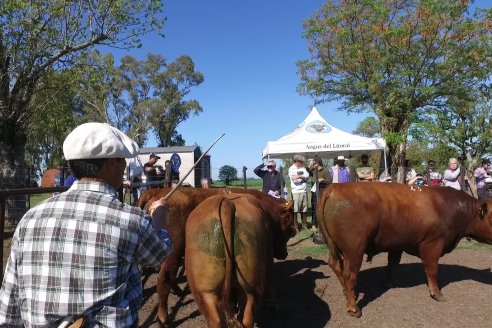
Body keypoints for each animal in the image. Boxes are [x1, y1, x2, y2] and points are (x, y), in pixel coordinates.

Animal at [186, 193, 290, 326]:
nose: (285, 253)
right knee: (246, 318)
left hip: (207, 291)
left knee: (217, 319)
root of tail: (227, 203)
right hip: (249, 288)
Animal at [318, 182, 492, 318]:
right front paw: (437, 294)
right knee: (349, 275)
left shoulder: (397, 244)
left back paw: (349, 294)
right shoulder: (432, 245)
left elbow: (392, 264)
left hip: (337, 248)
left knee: (336, 265)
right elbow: (432, 270)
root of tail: (336, 187)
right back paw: (354, 308)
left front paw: (388, 283)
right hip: (354, 250)